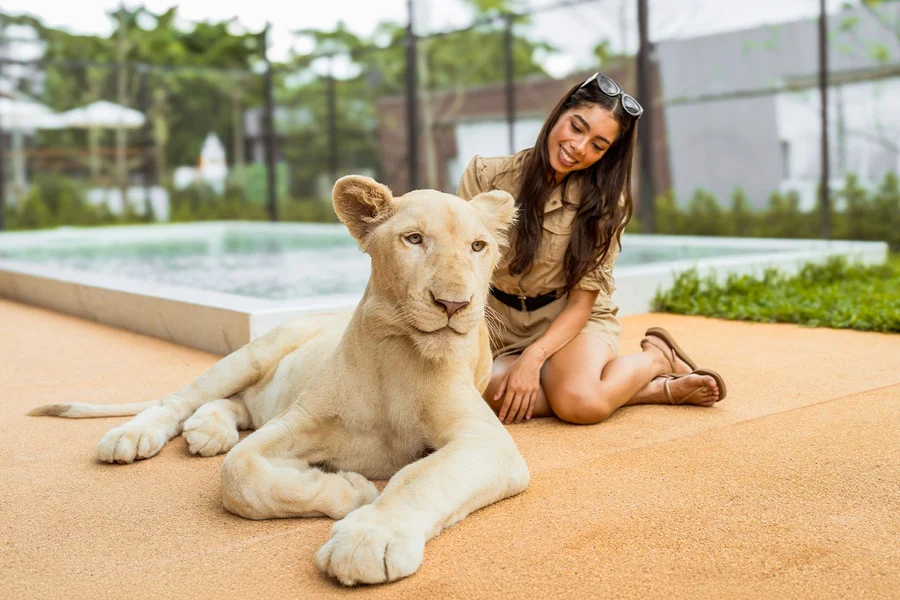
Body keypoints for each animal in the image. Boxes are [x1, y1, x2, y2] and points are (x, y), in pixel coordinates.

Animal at [29, 175, 530, 586]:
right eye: (414, 239)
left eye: (478, 247)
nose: (454, 304)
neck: (398, 356)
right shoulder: (296, 422)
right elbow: (240, 473)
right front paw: (351, 489)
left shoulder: (486, 441)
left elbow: (423, 477)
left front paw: (369, 539)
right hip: (251, 354)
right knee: (180, 399)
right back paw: (132, 437)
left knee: (233, 405)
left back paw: (207, 431)